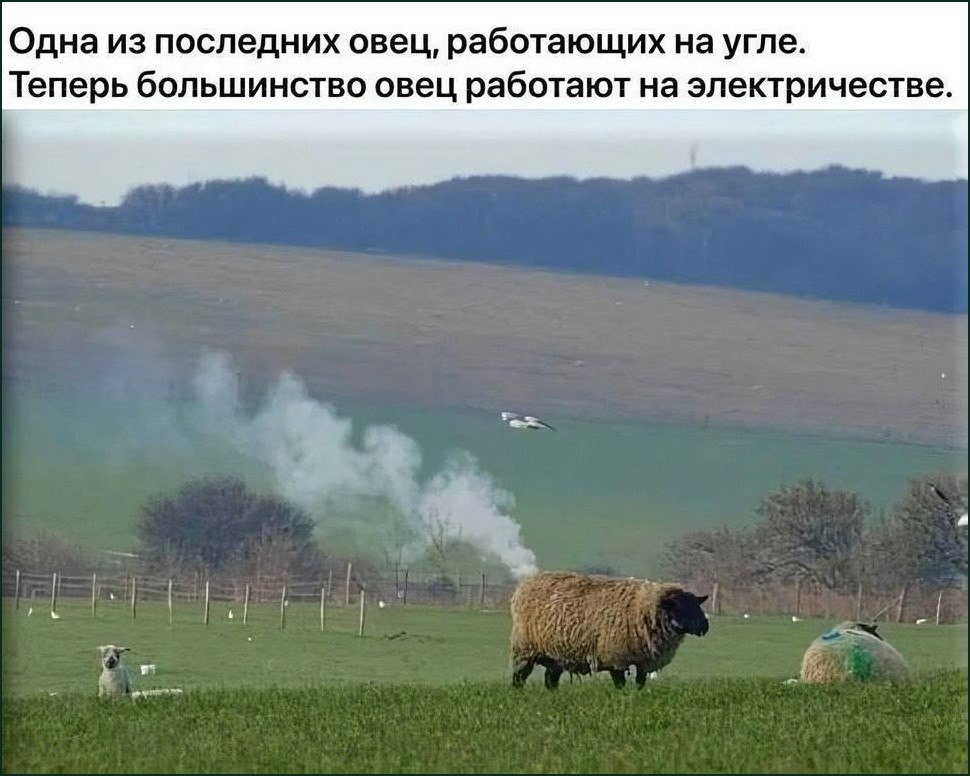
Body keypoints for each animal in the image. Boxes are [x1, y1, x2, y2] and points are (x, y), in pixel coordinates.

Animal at [510, 572, 709, 689]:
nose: (705, 627)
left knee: (550, 679)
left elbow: (640, 682)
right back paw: (518, 693)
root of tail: (524, 586)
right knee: (519, 677)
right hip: (525, 649)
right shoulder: (615, 657)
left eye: (695, 605)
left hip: (557, 655)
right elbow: (620, 683)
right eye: (678, 607)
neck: (643, 608)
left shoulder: (642, 660)